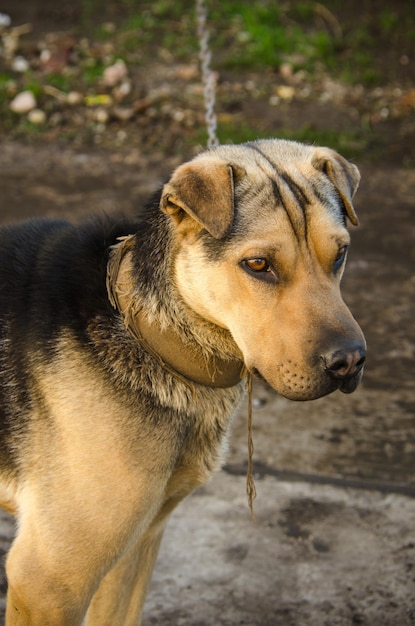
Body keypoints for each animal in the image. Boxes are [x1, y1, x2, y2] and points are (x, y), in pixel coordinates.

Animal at [0, 139, 366, 620]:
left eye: (339, 254)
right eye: (258, 264)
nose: (350, 361)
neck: (150, 334)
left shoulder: (138, 544)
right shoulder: (48, 581)